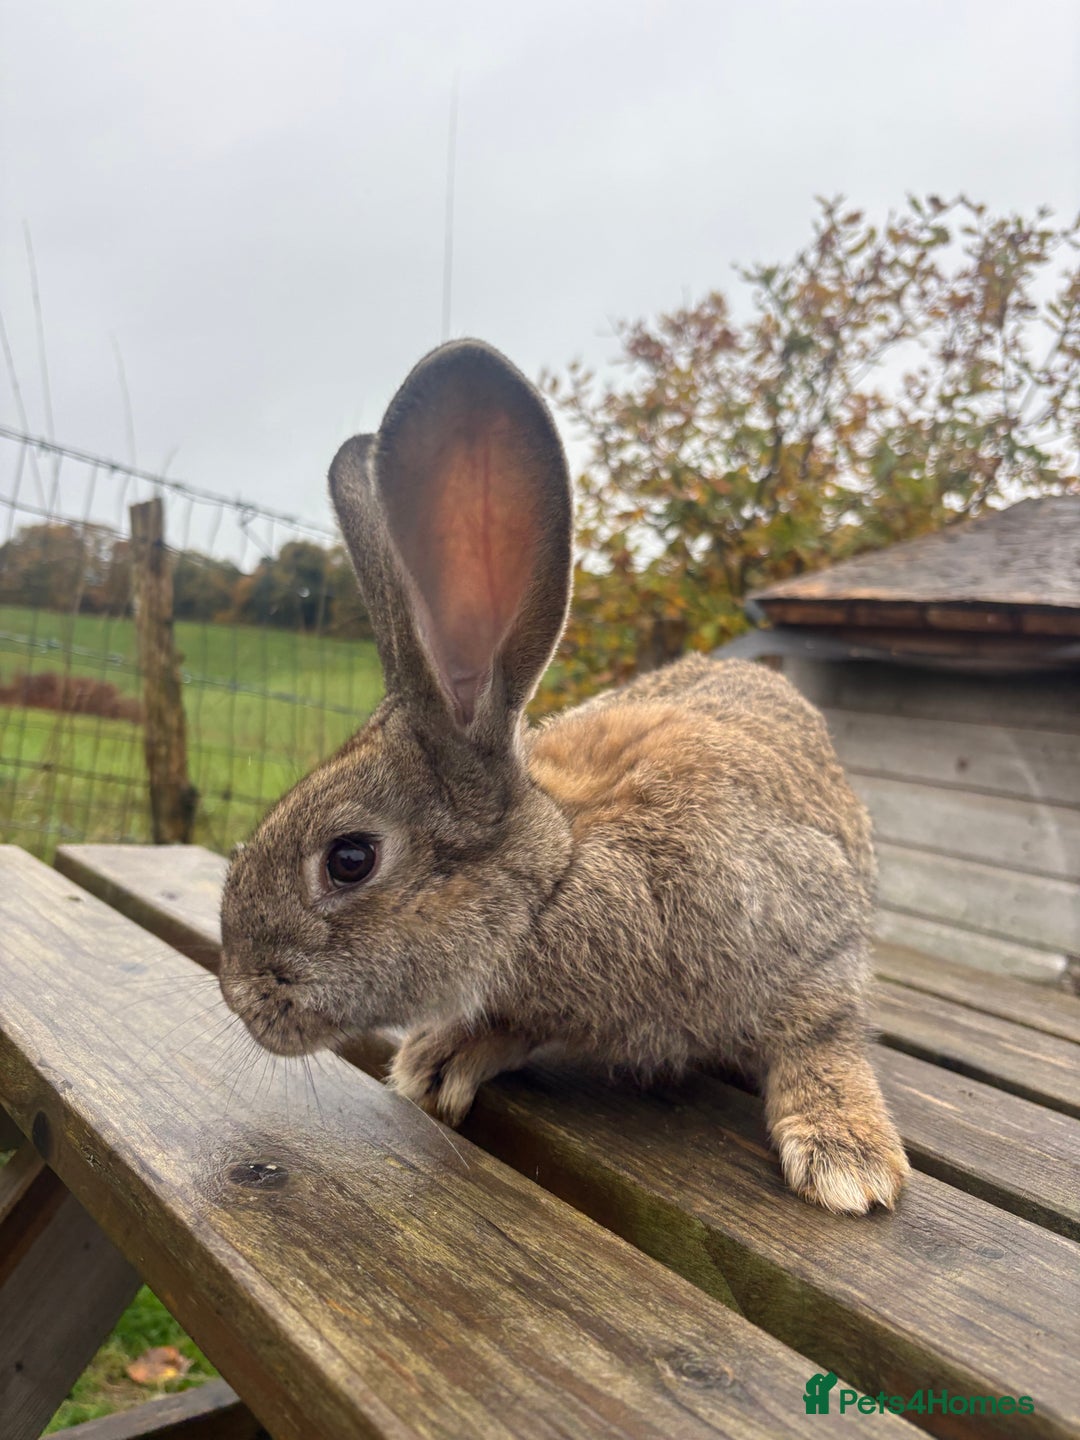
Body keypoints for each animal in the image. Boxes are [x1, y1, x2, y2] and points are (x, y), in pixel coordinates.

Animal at [219, 339, 909, 1215]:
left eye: (349, 859)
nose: (243, 1000)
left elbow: (823, 1032)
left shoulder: (813, 940)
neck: (560, 874)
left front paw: (848, 1158)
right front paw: (438, 1059)